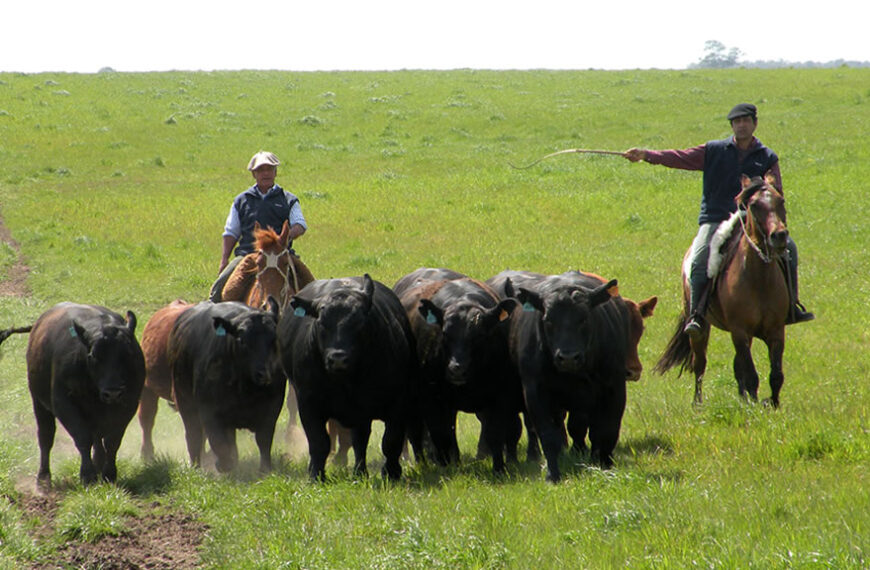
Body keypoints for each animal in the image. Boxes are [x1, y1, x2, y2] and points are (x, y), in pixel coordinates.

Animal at [0, 302, 145, 484]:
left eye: (128, 353)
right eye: (93, 355)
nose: (112, 392)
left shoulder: (129, 403)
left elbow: (112, 441)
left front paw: (109, 474)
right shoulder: (63, 403)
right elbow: (82, 437)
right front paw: (87, 475)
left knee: (97, 438)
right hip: (39, 403)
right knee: (46, 438)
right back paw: (43, 478)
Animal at [656, 171, 792, 406]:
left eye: (780, 200)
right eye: (754, 205)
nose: (779, 236)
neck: (759, 279)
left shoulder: (776, 331)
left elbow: (775, 375)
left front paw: (772, 404)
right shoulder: (740, 331)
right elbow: (751, 375)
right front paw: (755, 405)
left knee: (737, 367)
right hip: (700, 330)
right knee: (700, 364)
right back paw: (698, 403)